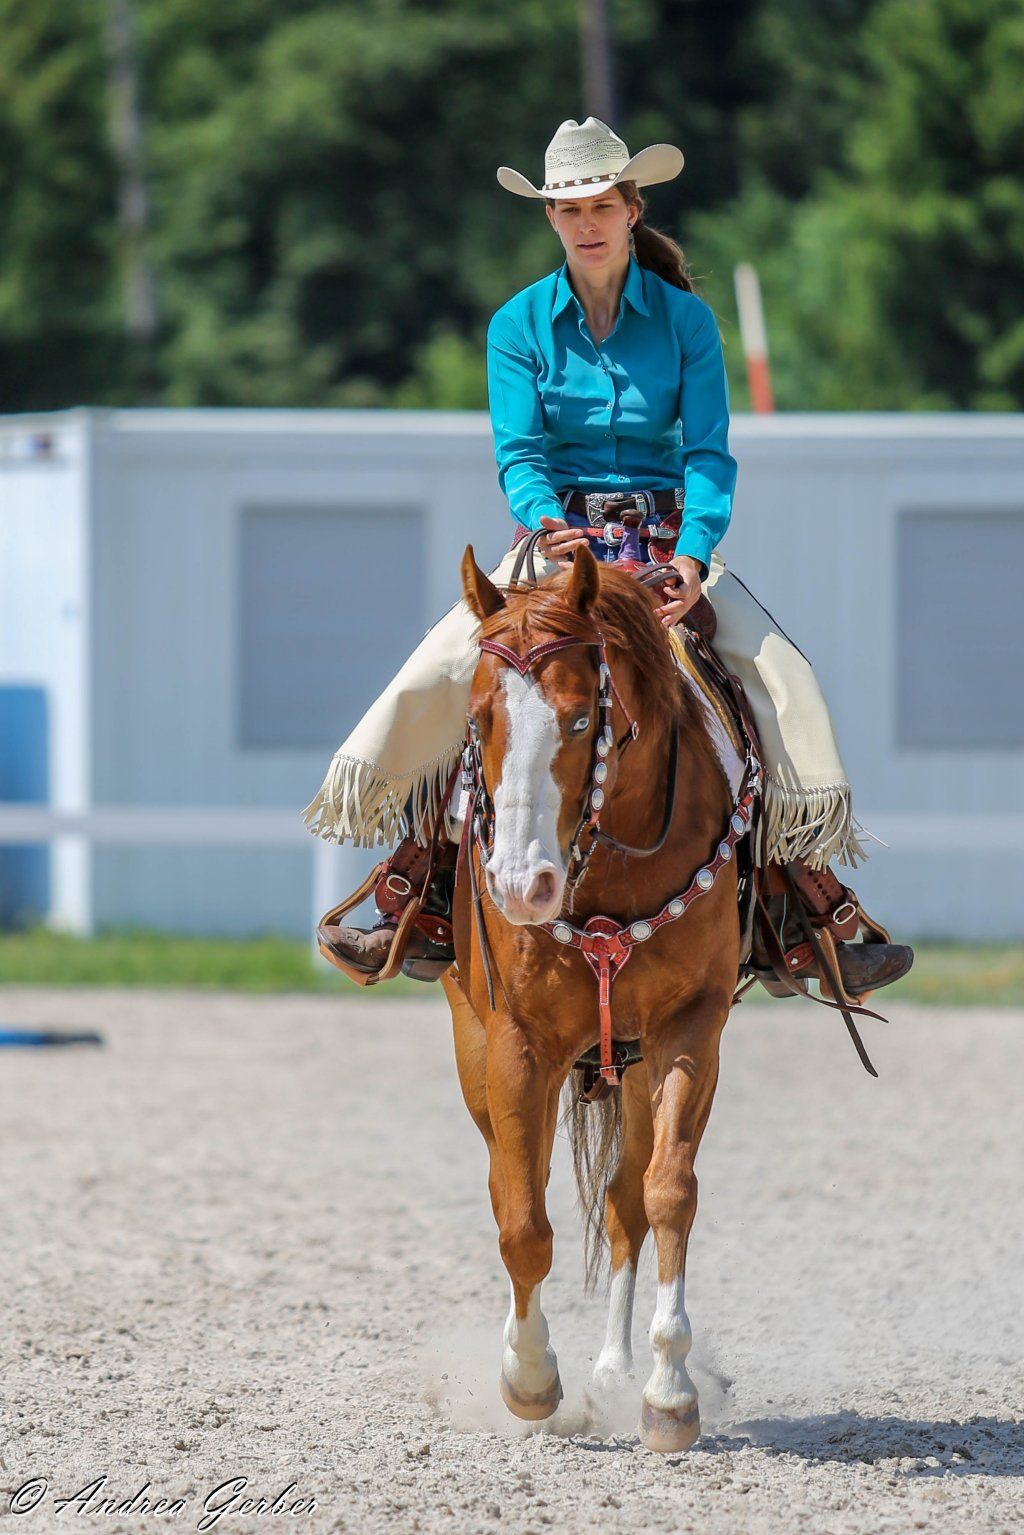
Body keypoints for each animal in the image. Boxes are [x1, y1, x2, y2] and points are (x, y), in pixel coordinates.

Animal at [440, 541, 756, 1453]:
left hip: (638, 1062)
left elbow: (667, 1191)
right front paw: (527, 1377)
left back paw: (617, 1372)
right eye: (479, 717)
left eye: (582, 721)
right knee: (514, 1181)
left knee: (623, 1200)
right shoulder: (517, 1041)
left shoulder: (690, 1029)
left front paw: (668, 1391)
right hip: (481, 1044)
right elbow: (521, 1217)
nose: (521, 886)